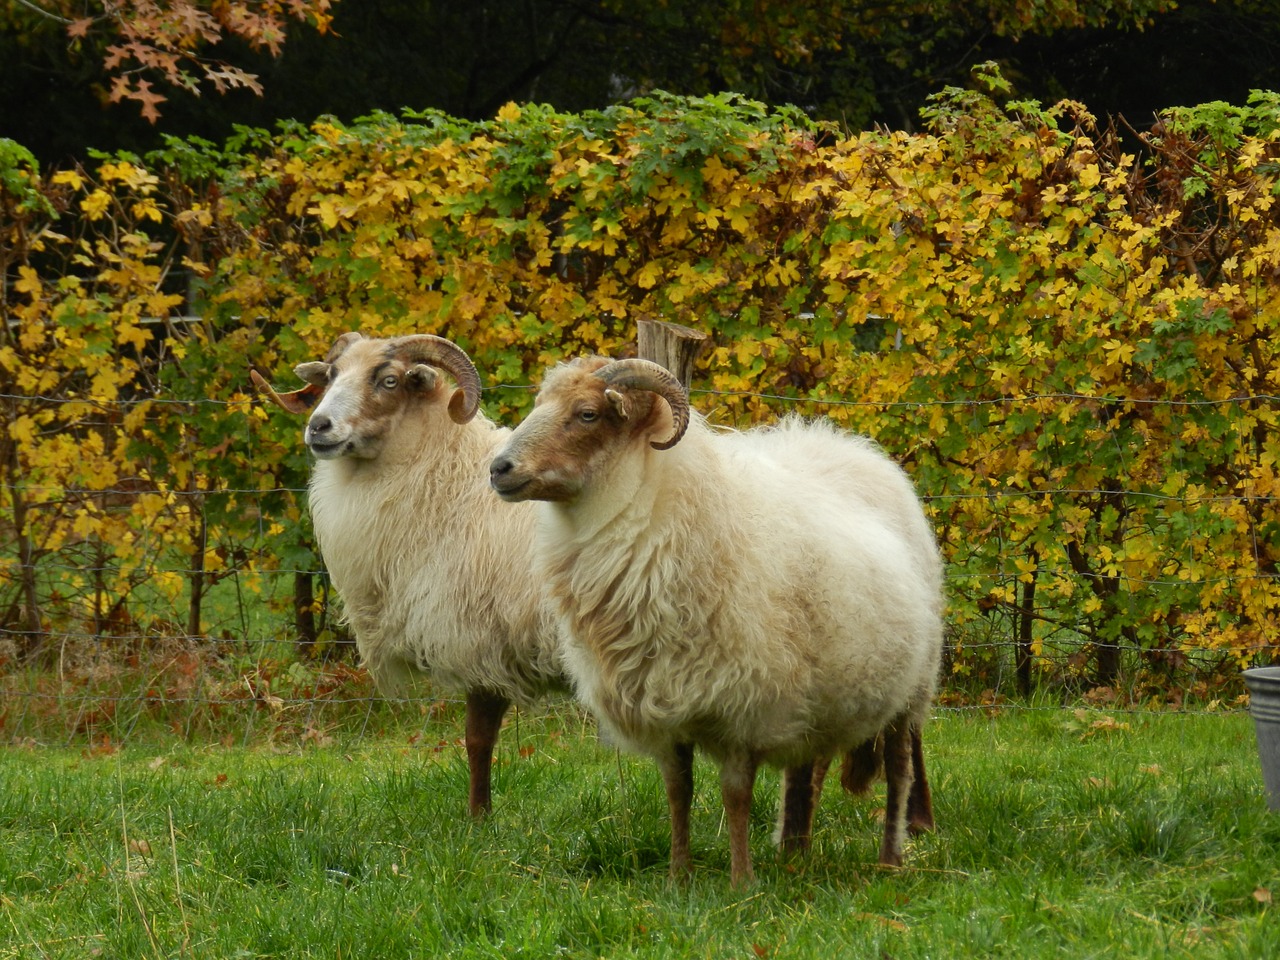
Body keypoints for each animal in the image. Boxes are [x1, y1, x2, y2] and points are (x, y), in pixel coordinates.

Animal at [254, 335, 565, 814]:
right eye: (331, 374)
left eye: (389, 380)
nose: (319, 426)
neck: (449, 485)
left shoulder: (479, 642)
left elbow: (478, 741)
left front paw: (479, 819)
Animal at [486, 355, 942, 885]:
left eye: (587, 414)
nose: (498, 468)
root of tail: (855, 449)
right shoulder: (664, 705)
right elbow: (678, 791)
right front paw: (678, 876)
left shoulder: (746, 705)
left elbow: (735, 795)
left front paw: (741, 880)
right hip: (818, 688)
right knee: (806, 768)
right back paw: (795, 852)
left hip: (912, 686)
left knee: (899, 768)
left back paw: (889, 858)